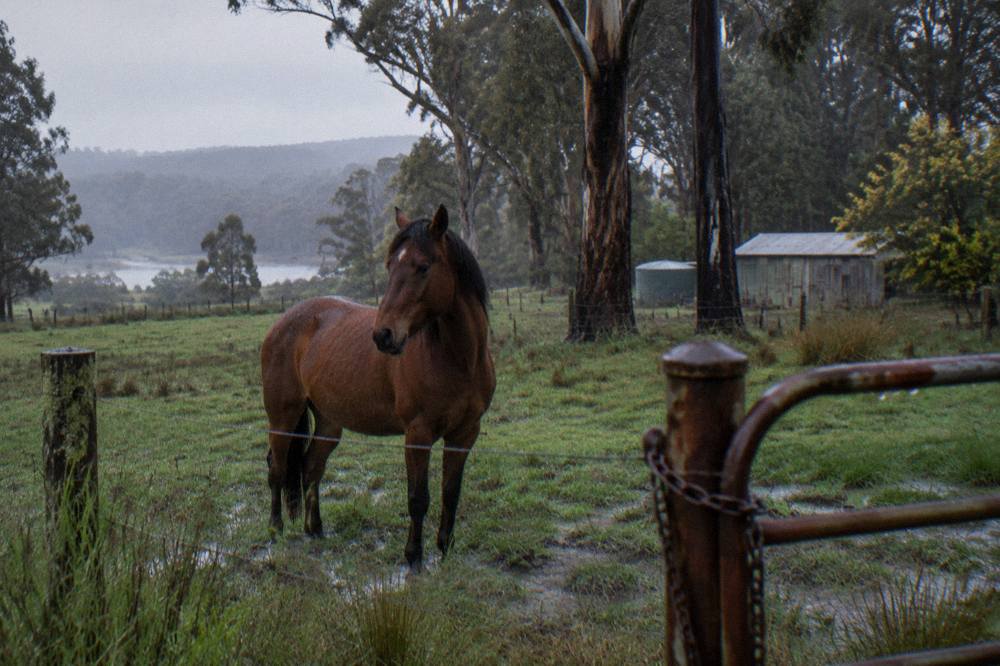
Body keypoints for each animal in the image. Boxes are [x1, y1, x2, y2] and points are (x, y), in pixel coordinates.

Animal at [260, 205, 495, 571]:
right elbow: (418, 497)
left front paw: (445, 549)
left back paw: (315, 528)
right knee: (277, 468)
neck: (459, 360)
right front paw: (413, 557)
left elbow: (450, 494)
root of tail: (283, 322)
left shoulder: (465, 433)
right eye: (389, 266)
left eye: (423, 266)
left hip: (329, 422)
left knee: (312, 466)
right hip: (283, 418)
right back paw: (276, 529)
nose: (383, 335)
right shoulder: (418, 434)